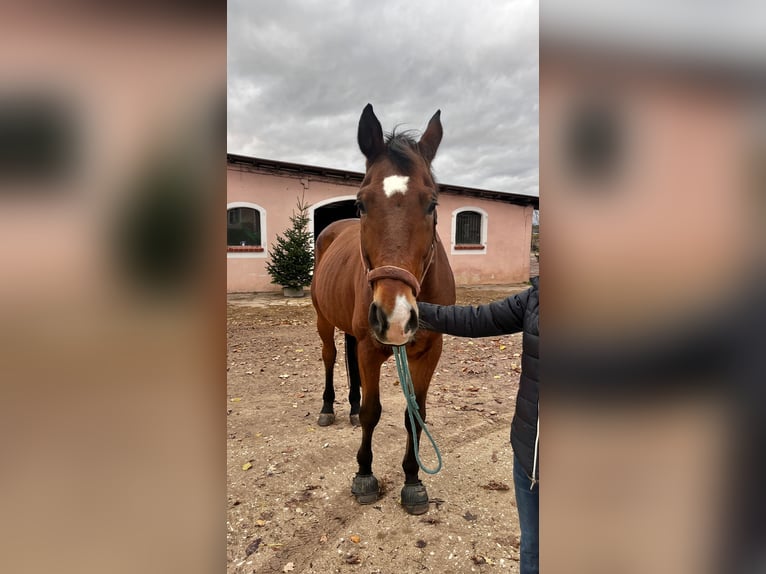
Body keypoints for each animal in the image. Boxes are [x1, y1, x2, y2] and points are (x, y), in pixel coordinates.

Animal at [310, 103, 456, 516]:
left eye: (432, 203)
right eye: (361, 203)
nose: (395, 316)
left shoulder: (428, 352)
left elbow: (414, 415)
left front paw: (413, 479)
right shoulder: (371, 348)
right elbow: (373, 413)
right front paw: (364, 475)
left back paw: (349, 407)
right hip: (324, 321)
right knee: (330, 358)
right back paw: (330, 407)